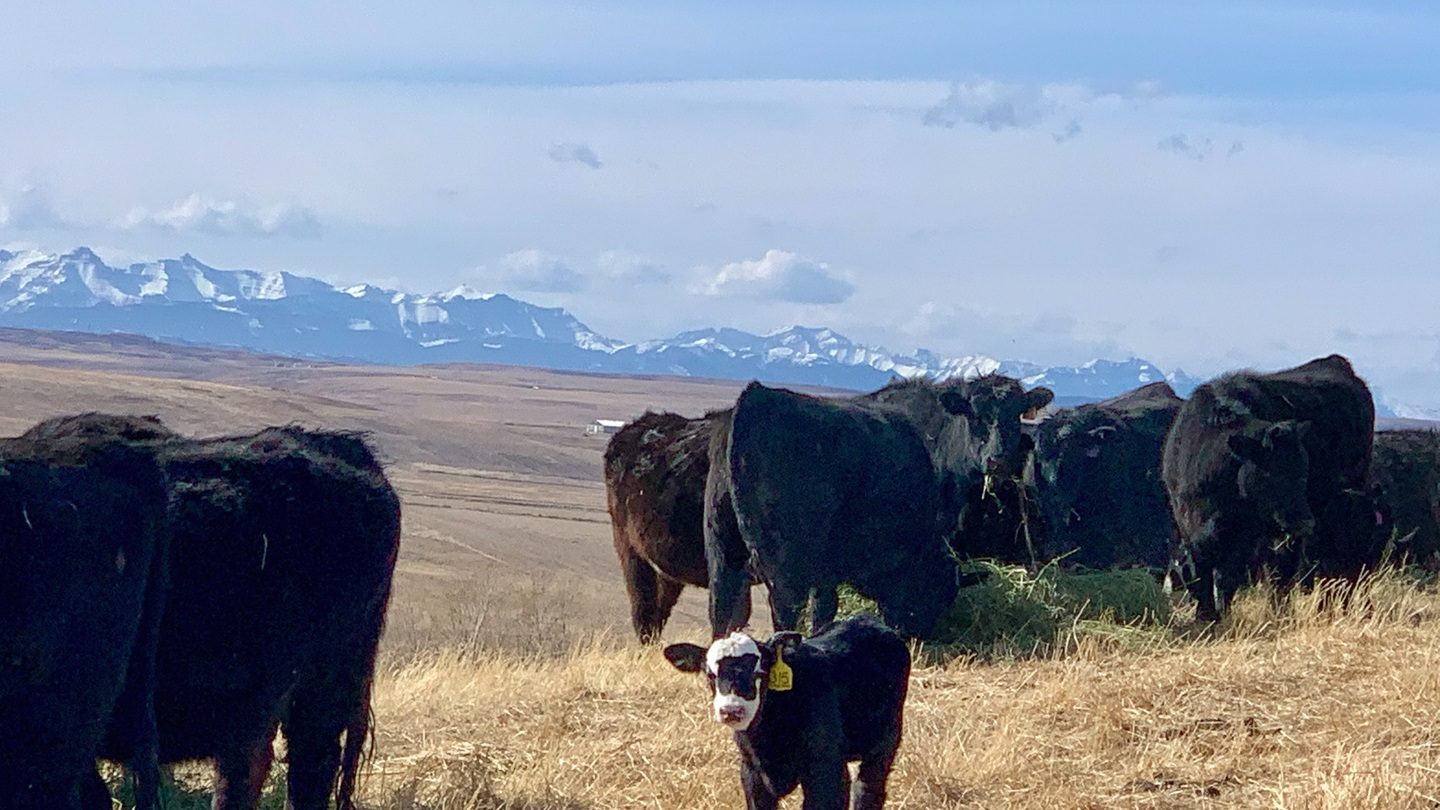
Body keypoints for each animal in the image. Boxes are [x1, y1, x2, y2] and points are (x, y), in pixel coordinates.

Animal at [664, 614, 910, 810]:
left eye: (760, 672)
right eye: (710, 675)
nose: (731, 710)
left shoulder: (826, 768)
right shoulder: (752, 773)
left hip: (885, 744)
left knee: (867, 790)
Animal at [706, 375, 1053, 638]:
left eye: (1016, 414)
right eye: (975, 416)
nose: (998, 459)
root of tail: (756, 395)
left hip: (722, 547)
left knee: (721, 608)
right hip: (786, 558)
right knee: (785, 608)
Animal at [1162, 355, 1376, 620]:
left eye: (1303, 472)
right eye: (1267, 474)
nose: (1305, 522)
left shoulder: (1250, 534)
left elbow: (1229, 575)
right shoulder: (1187, 519)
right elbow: (1203, 570)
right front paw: (1208, 615)